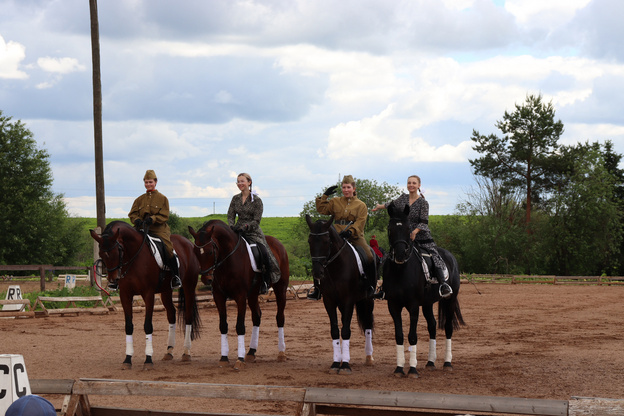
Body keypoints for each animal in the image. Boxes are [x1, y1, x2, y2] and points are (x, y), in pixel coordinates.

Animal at [89, 221, 200, 370]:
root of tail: (188, 242)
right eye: (101, 253)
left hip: (189, 286)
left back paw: (186, 352)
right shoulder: (125, 295)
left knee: (188, 316)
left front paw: (148, 359)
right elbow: (128, 326)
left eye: (118, 251)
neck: (133, 256)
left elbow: (148, 325)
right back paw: (169, 351)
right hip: (166, 291)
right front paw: (127, 359)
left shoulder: (148, 294)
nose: (113, 279)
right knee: (171, 314)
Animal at [188, 219, 290, 368]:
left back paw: (281, 353)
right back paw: (251, 352)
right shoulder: (219, 297)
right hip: (253, 294)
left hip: (280, 289)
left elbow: (240, 326)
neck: (227, 260)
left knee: (280, 317)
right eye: (195, 252)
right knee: (257, 316)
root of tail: (278, 243)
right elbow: (223, 325)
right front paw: (224, 358)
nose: (206, 279)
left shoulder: (240, 297)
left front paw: (239, 359)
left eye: (210, 252)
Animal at [306, 214, 376, 374]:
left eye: (326, 241)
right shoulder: (329, 301)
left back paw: (369, 358)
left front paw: (345, 365)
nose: (317, 272)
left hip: (368, 300)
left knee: (368, 325)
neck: (336, 268)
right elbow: (335, 330)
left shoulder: (349, 301)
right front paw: (336, 362)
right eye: (310, 241)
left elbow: (345, 331)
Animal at [382, 203, 466, 378]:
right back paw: (430, 362)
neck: (401, 270)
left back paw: (447, 363)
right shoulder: (393, 306)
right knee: (432, 326)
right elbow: (399, 336)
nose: (400, 254)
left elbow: (412, 336)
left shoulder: (413, 306)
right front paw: (399, 368)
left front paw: (412, 369)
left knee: (448, 327)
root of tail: (450, 256)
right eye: (390, 228)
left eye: (408, 228)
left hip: (450, 299)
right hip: (427, 303)